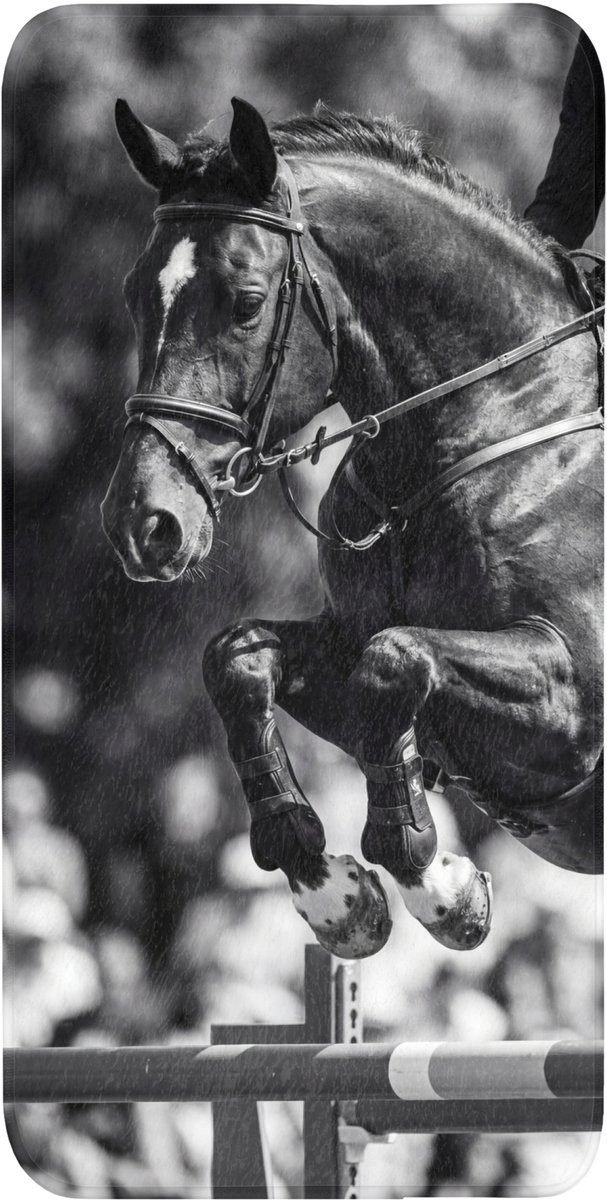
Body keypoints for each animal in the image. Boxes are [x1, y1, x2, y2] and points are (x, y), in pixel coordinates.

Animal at [102, 96, 603, 957]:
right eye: (136, 293)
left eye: (246, 302)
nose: (145, 521)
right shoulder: (348, 648)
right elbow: (240, 659)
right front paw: (327, 887)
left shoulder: (574, 710)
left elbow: (395, 660)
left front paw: (436, 883)